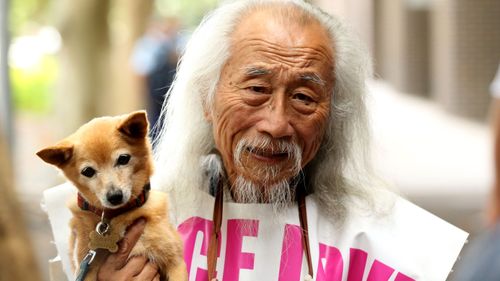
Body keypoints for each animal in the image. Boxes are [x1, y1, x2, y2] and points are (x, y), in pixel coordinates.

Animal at [36, 110, 187, 278]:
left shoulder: (175, 262)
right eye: (87, 171)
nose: (115, 196)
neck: (116, 216)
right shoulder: (87, 270)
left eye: (123, 159)